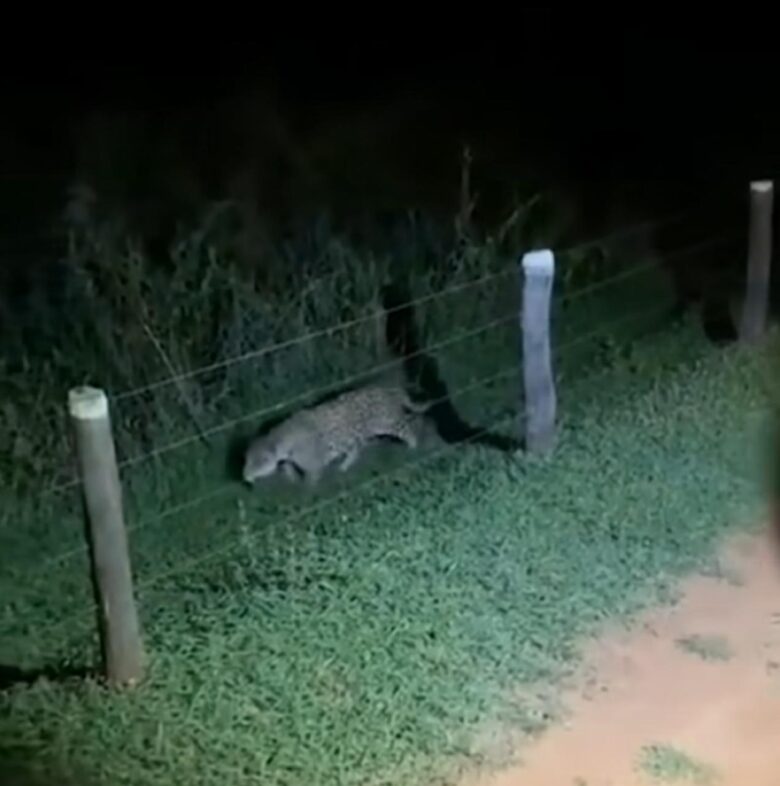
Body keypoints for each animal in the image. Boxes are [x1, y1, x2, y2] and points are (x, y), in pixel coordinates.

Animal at [244, 382, 436, 484]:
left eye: (259, 461)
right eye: (247, 460)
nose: (245, 476)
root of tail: (389, 388)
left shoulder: (313, 465)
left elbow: (310, 480)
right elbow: (288, 467)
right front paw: (291, 476)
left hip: (388, 423)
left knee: (408, 428)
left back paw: (413, 448)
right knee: (355, 449)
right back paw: (344, 466)